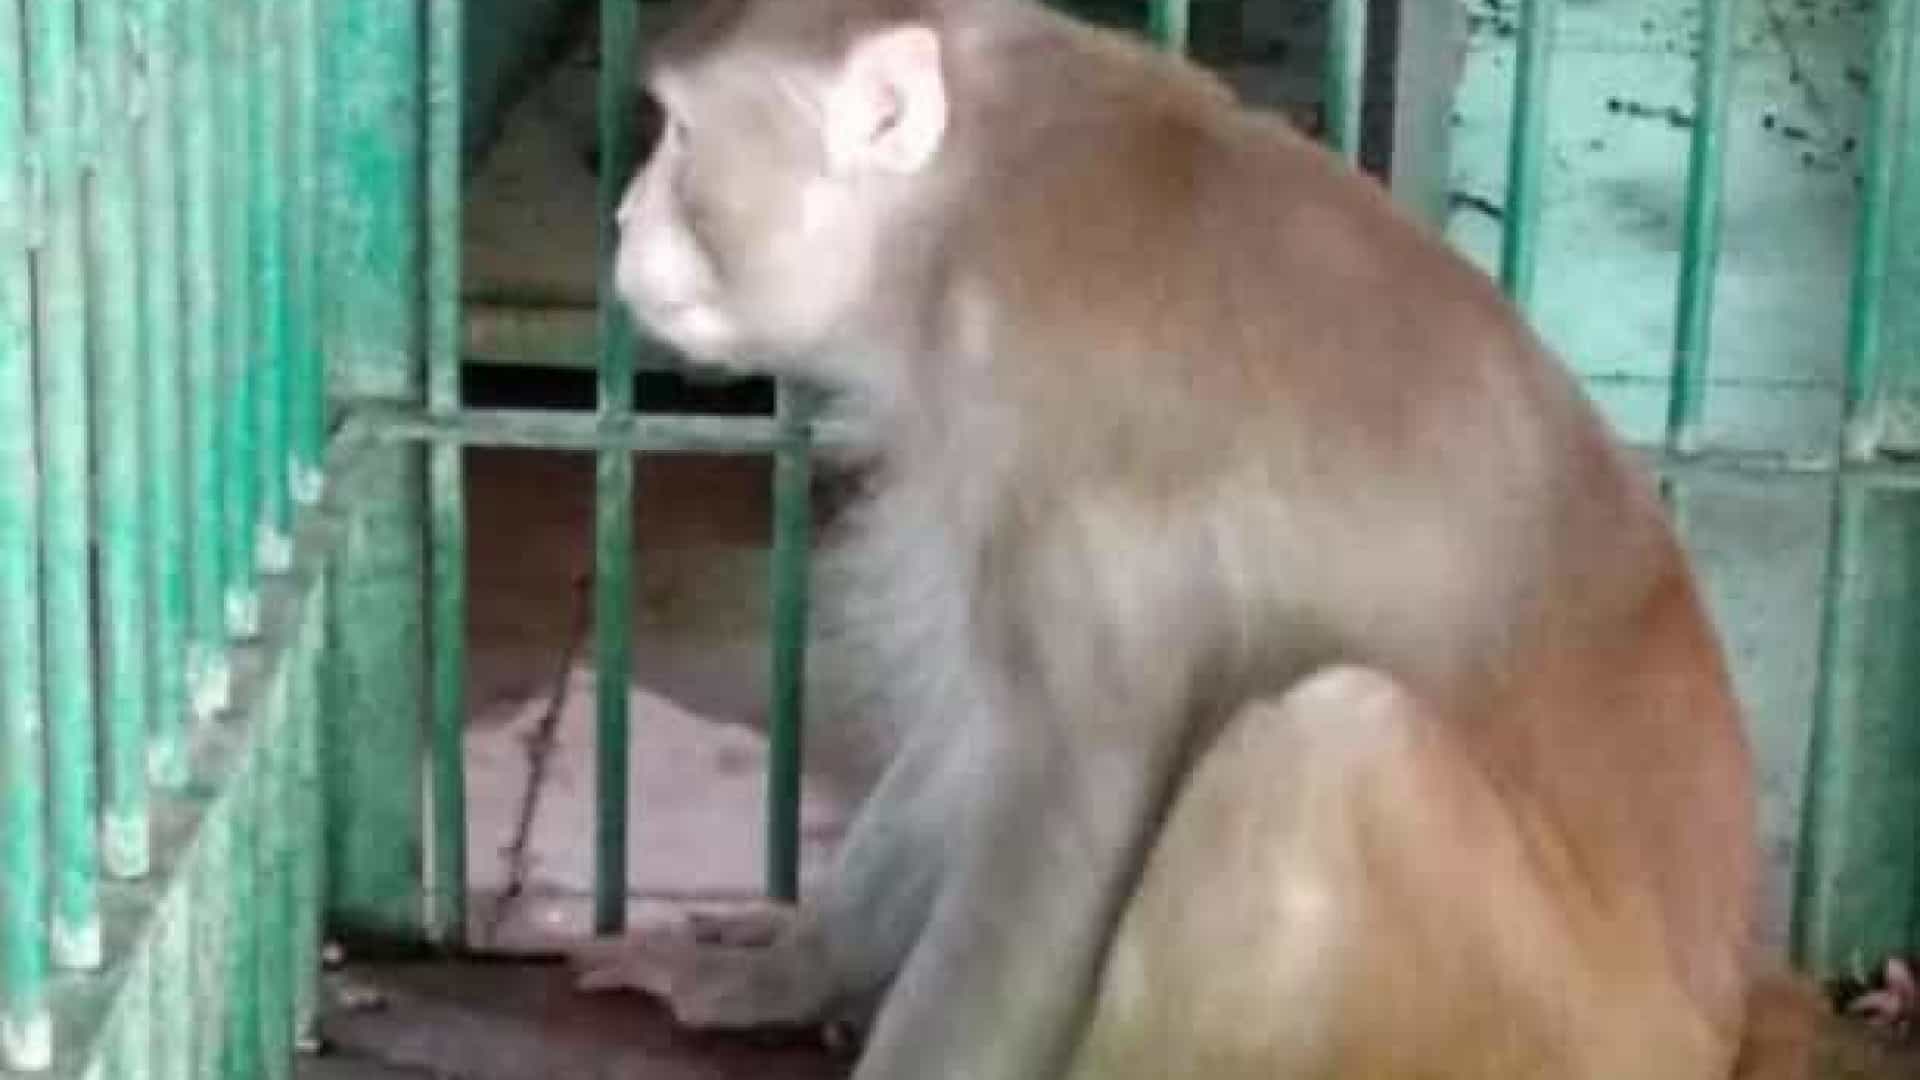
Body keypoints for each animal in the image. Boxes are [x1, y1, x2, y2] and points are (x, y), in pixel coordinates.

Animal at [567, 0, 1812, 1075]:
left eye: (681, 137)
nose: (623, 218)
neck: (973, 212)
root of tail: (1717, 1031)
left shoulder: (1072, 466)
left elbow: (1065, 801)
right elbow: (980, 728)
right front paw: (777, 977)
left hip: (1538, 1031)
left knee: (1330, 746)